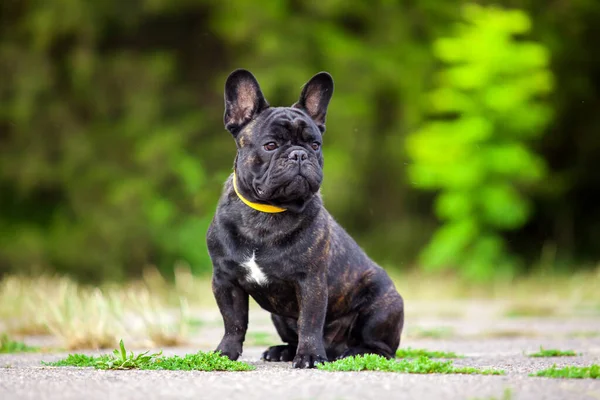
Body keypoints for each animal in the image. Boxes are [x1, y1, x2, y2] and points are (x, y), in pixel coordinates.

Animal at [205, 68, 404, 368]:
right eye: (270, 145)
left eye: (315, 144)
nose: (299, 154)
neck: (267, 213)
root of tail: (334, 348)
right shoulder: (225, 280)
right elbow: (234, 321)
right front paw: (226, 352)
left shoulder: (311, 282)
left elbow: (310, 322)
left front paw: (309, 356)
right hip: (279, 317)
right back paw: (283, 351)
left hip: (383, 307)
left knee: (382, 348)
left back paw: (353, 352)